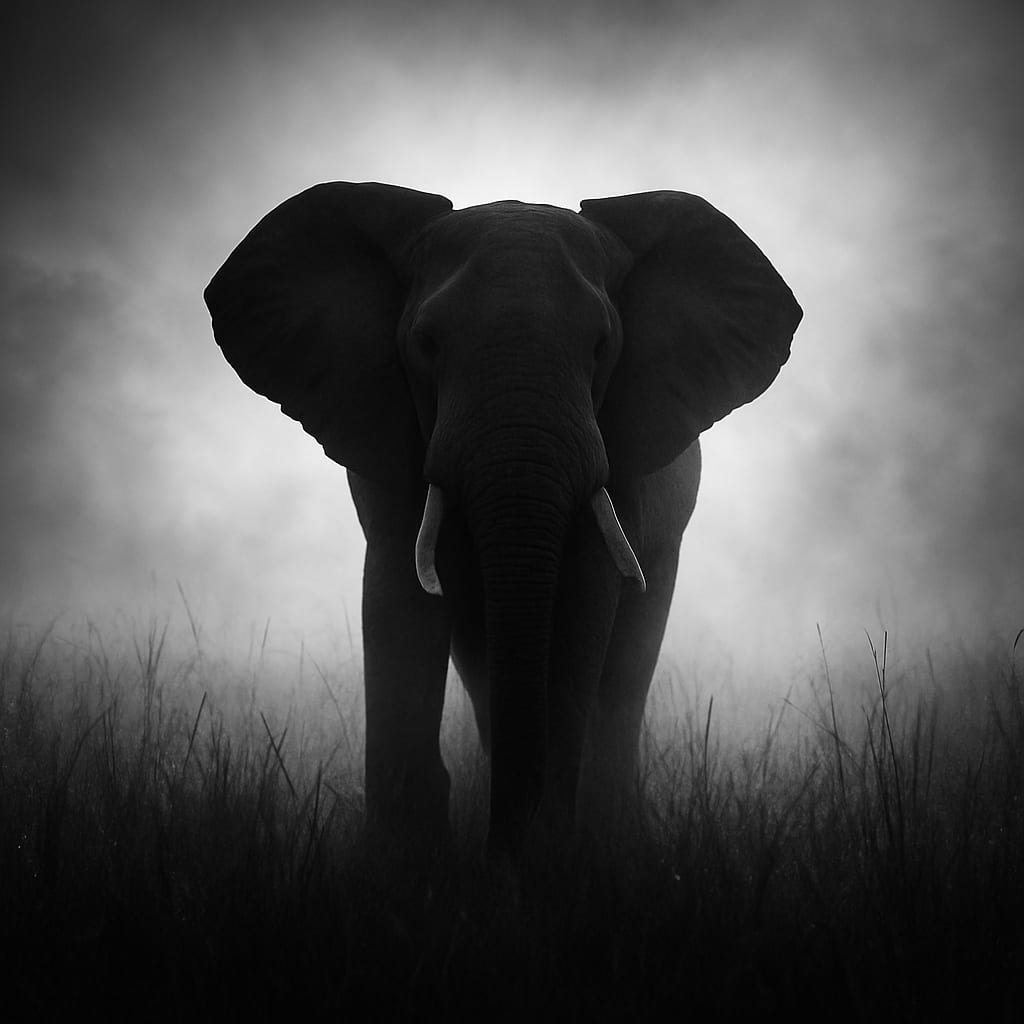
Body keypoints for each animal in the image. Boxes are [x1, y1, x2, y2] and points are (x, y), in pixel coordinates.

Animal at [204, 182, 801, 856]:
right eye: (426, 344)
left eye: (602, 347)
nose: (500, 854)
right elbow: (399, 595)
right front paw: (409, 855)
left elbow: (585, 602)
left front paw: (544, 854)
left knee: (628, 664)